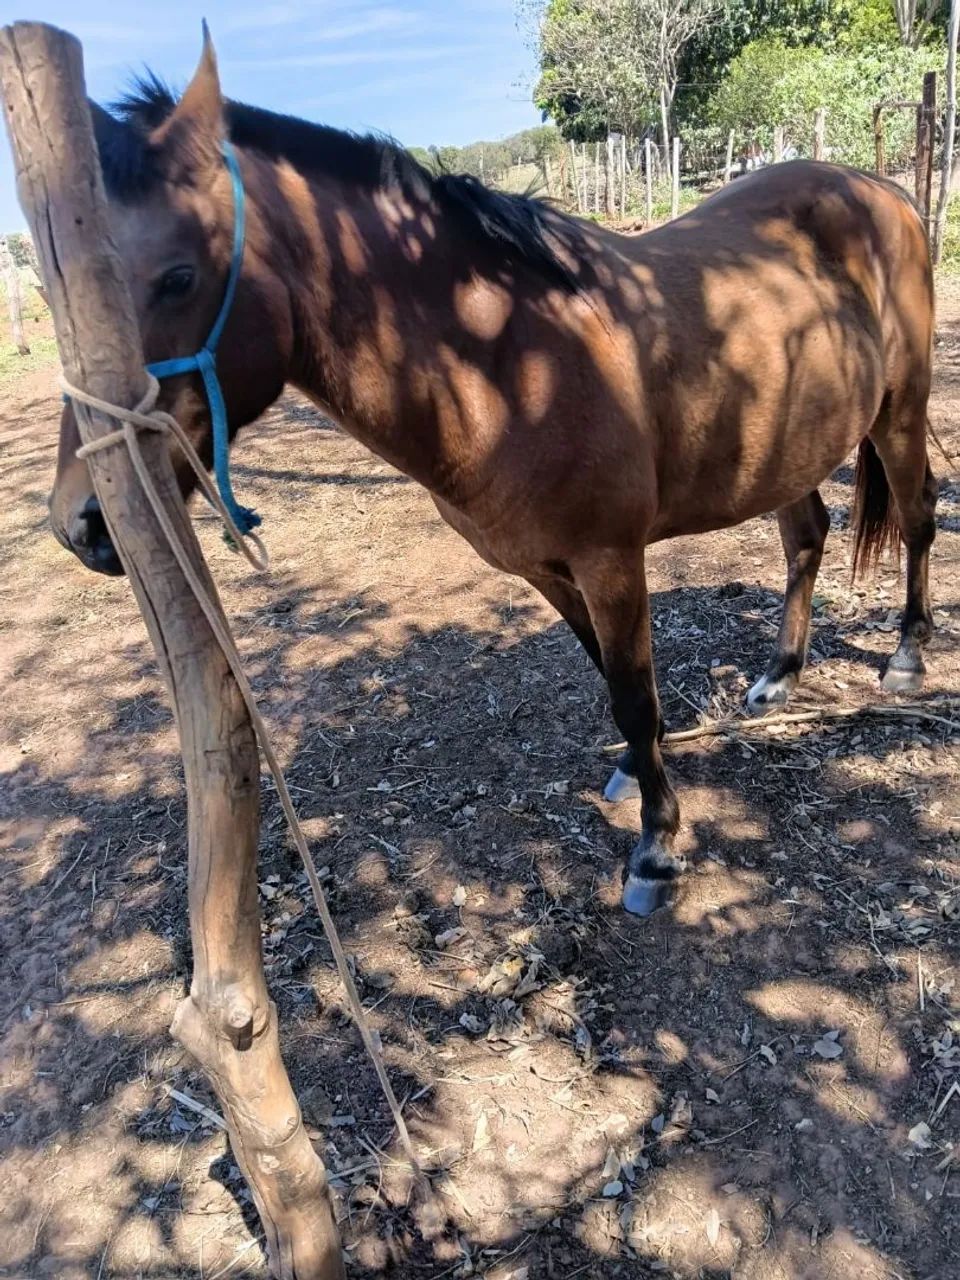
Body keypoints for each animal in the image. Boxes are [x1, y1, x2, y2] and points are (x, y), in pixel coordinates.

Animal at [49, 34, 939, 918]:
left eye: (177, 277)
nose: (82, 523)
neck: (509, 366)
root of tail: (880, 187)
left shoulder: (611, 562)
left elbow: (634, 692)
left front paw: (656, 848)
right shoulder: (543, 568)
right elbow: (610, 678)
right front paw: (635, 770)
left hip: (898, 408)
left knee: (920, 516)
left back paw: (905, 656)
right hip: (790, 440)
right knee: (807, 538)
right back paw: (778, 678)